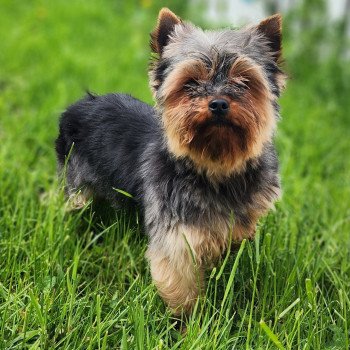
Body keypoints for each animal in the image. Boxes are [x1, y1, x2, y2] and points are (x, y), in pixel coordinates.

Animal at [54, 7, 284, 314]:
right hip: (75, 180)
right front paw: (190, 321)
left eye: (244, 82)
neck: (214, 167)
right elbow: (179, 281)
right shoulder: (177, 238)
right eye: (190, 83)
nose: (218, 103)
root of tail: (80, 105)